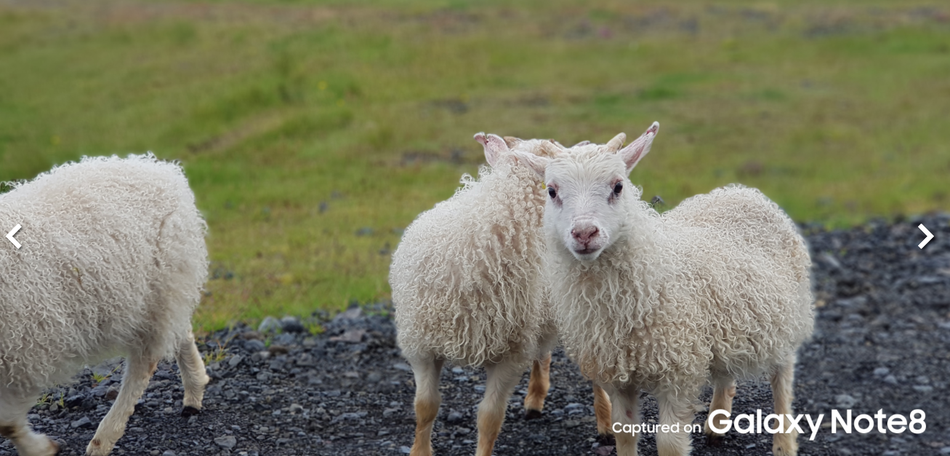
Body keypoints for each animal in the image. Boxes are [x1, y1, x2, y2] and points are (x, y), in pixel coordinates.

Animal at [0, 154, 210, 456]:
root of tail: (161, 169)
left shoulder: (24, 352)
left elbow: (6, 421)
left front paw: (42, 449)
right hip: (165, 291)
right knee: (180, 330)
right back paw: (195, 388)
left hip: (154, 294)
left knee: (143, 364)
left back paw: (104, 438)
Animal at [390, 135, 612, 456]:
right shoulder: (422, 346)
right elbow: (425, 407)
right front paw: (419, 451)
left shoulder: (509, 355)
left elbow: (489, 418)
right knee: (542, 354)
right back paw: (535, 400)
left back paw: (606, 424)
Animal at [512, 123, 820, 454]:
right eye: (552, 191)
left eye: (618, 186)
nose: (584, 233)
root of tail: (743, 192)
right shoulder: (619, 375)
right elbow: (624, 433)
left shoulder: (679, 371)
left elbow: (669, 442)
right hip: (725, 323)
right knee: (727, 374)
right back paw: (717, 424)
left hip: (787, 317)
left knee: (782, 382)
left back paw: (784, 443)